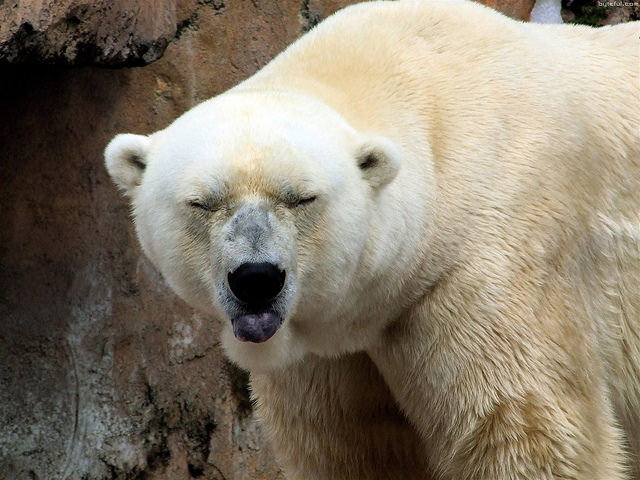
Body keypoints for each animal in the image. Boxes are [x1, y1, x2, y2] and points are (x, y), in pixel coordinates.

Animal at [105, 1, 640, 478]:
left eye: (303, 198)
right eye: (202, 203)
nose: (257, 279)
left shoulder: (488, 261)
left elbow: (528, 432)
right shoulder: (328, 347)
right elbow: (349, 447)